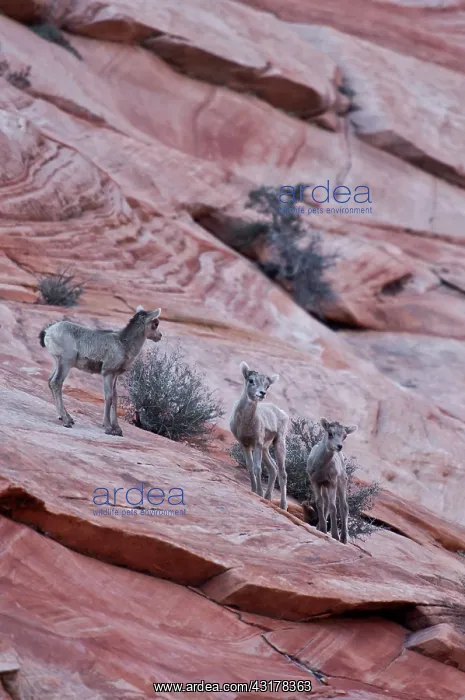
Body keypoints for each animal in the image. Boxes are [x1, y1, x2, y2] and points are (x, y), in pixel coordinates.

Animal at [39, 305, 162, 435]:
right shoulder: (108, 373)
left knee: (50, 381)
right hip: (65, 362)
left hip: (58, 362)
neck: (123, 344)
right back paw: (66, 421)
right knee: (56, 383)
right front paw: (108, 428)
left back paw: (67, 418)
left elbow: (115, 397)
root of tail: (48, 330)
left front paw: (117, 429)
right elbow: (108, 397)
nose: (160, 336)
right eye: (155, 324)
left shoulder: (115, 376)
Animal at [230, 361, 289, 510]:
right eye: (251, 380)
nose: (262, 393)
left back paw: (283, 505)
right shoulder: (244, 444)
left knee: (282, 473)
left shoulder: (256, 443)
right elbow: (250, 467)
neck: (246, 424)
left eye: (267, 385)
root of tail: (282, 413)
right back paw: (268, 497)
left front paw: (258, 493)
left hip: (278, 443)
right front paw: (253, 490)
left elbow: (257, 468)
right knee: (273, 469)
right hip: (266, 448)